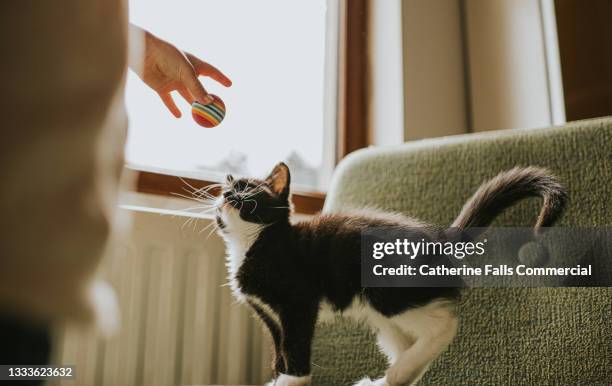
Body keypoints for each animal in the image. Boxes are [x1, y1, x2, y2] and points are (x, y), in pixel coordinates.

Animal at [214, 164, 564, 386]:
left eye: (246, 189)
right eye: (226, 190)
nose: (226, 195)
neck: (256, 242)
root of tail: (438, 239)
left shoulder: (298, 303)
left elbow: (294, 344)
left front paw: (292, 381)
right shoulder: (269, 315)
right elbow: (280, 347)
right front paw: (279, 375)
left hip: (387, 294)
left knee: (444, 325)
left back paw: (399, 371)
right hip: (383, 315)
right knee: (407, 344)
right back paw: (393, 377)